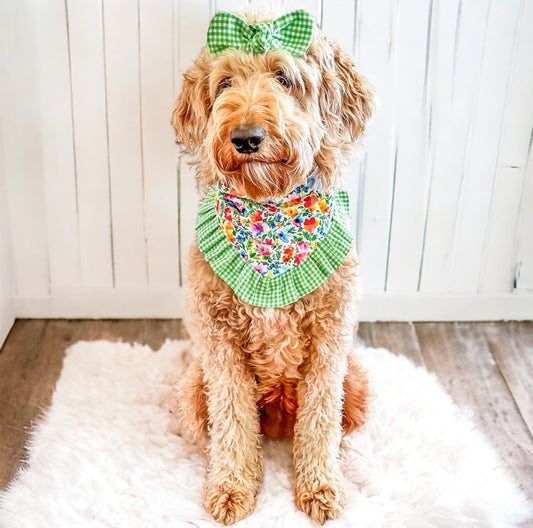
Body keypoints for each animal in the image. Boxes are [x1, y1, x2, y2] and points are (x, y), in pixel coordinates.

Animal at [172, 7, 372, 524]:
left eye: (284, 77)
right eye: (225, 83)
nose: (246, 138)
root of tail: (280, 416)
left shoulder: (330, 340)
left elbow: (321, 420)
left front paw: (320, 488)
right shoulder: (219, 343)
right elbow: (232, 420)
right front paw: (231, 488)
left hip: (356, 381)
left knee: (335, 424)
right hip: (192, 386)